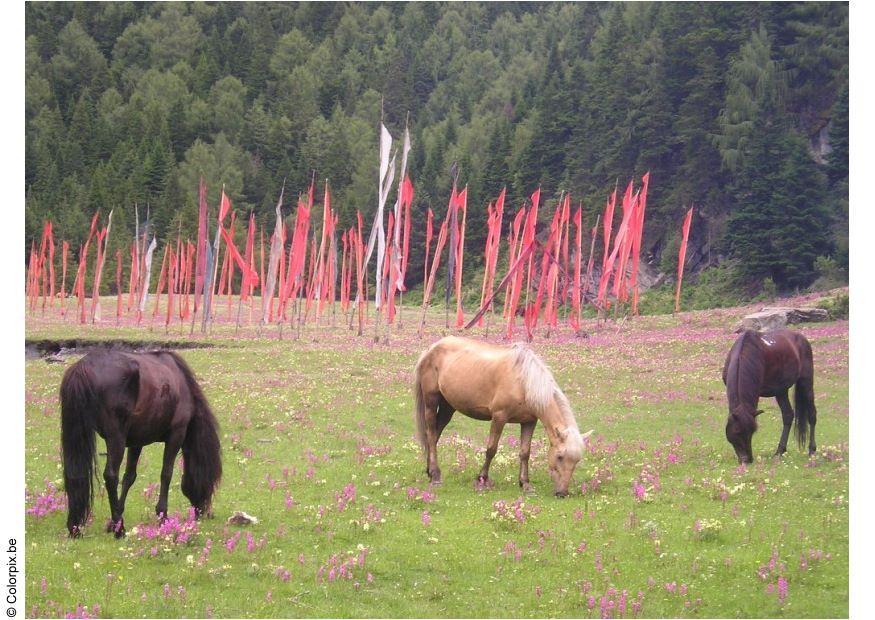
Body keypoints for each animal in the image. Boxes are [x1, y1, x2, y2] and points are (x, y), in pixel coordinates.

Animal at [59, 348, 221, 536]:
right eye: (209, 479)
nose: (202, 512)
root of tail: (83, 367)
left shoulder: (137, 442)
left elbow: (129, 477)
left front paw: (113, 520)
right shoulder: (176, 434)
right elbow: (166, 474)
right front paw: (162, 516)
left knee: (75, 473)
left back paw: (77, 527)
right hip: (116, 438)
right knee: (111, 475)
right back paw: (120, 530)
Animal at [412, 336, 592, 496]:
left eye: (576, 460)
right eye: (560, 456)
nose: (562, 493)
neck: (524, 382)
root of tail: (431, 349)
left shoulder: (529, 422)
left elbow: (525, 452)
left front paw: (525, 484)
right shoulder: (499, 417)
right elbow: (491, 449)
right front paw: (482, 479)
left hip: (448, 406)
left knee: (435, 435)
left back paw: (429, 471)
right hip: (431, 401)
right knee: (431, 434)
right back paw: (436, 475)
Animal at [724, 330, 816, 464]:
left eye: (752, 432)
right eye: (737, 431)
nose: (747, 460)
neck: (744, 353)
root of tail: (802, 338)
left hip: (806, 382)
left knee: (812, 414)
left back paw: (812, 450)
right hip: (781, 391)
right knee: (788, 415)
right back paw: (780, 451)